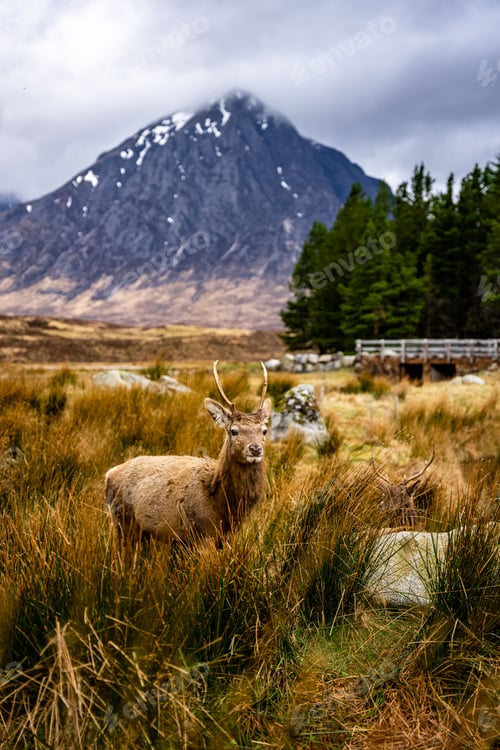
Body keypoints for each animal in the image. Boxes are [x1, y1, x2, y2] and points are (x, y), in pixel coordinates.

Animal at [105, 361, 272, 545]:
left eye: (264, 430)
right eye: (234, 431)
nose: (255, 449)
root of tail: (109, 474)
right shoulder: (200, 533)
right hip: (122, 523)